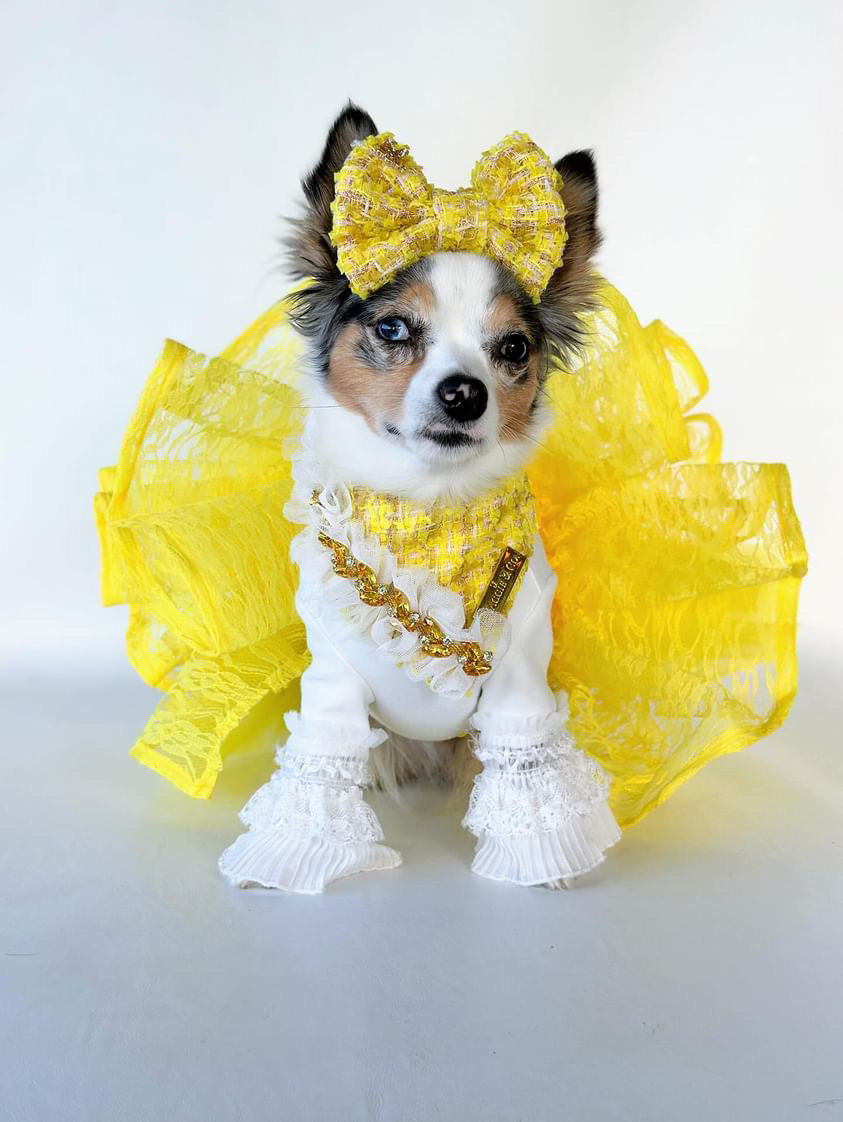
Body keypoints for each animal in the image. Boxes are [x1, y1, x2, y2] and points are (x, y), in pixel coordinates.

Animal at [221, 105, 624, 893]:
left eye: (513, 349)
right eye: (392, 329)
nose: (464, 393)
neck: (430, 514)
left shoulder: (520, 692)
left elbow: (529, 774)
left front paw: (542, 864)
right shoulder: (333, 691)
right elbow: (319, 774)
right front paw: (282, 862)